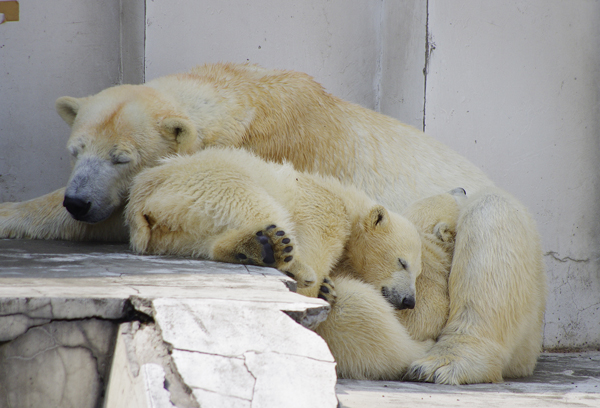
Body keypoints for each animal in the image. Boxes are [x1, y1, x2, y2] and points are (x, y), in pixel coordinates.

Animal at [0, 62, 548, 384]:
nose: (78, 201)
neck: (244, 99)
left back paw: (442, 362)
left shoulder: (277, 148)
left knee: (492, 223)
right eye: (75, 151)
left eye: (121, 157)